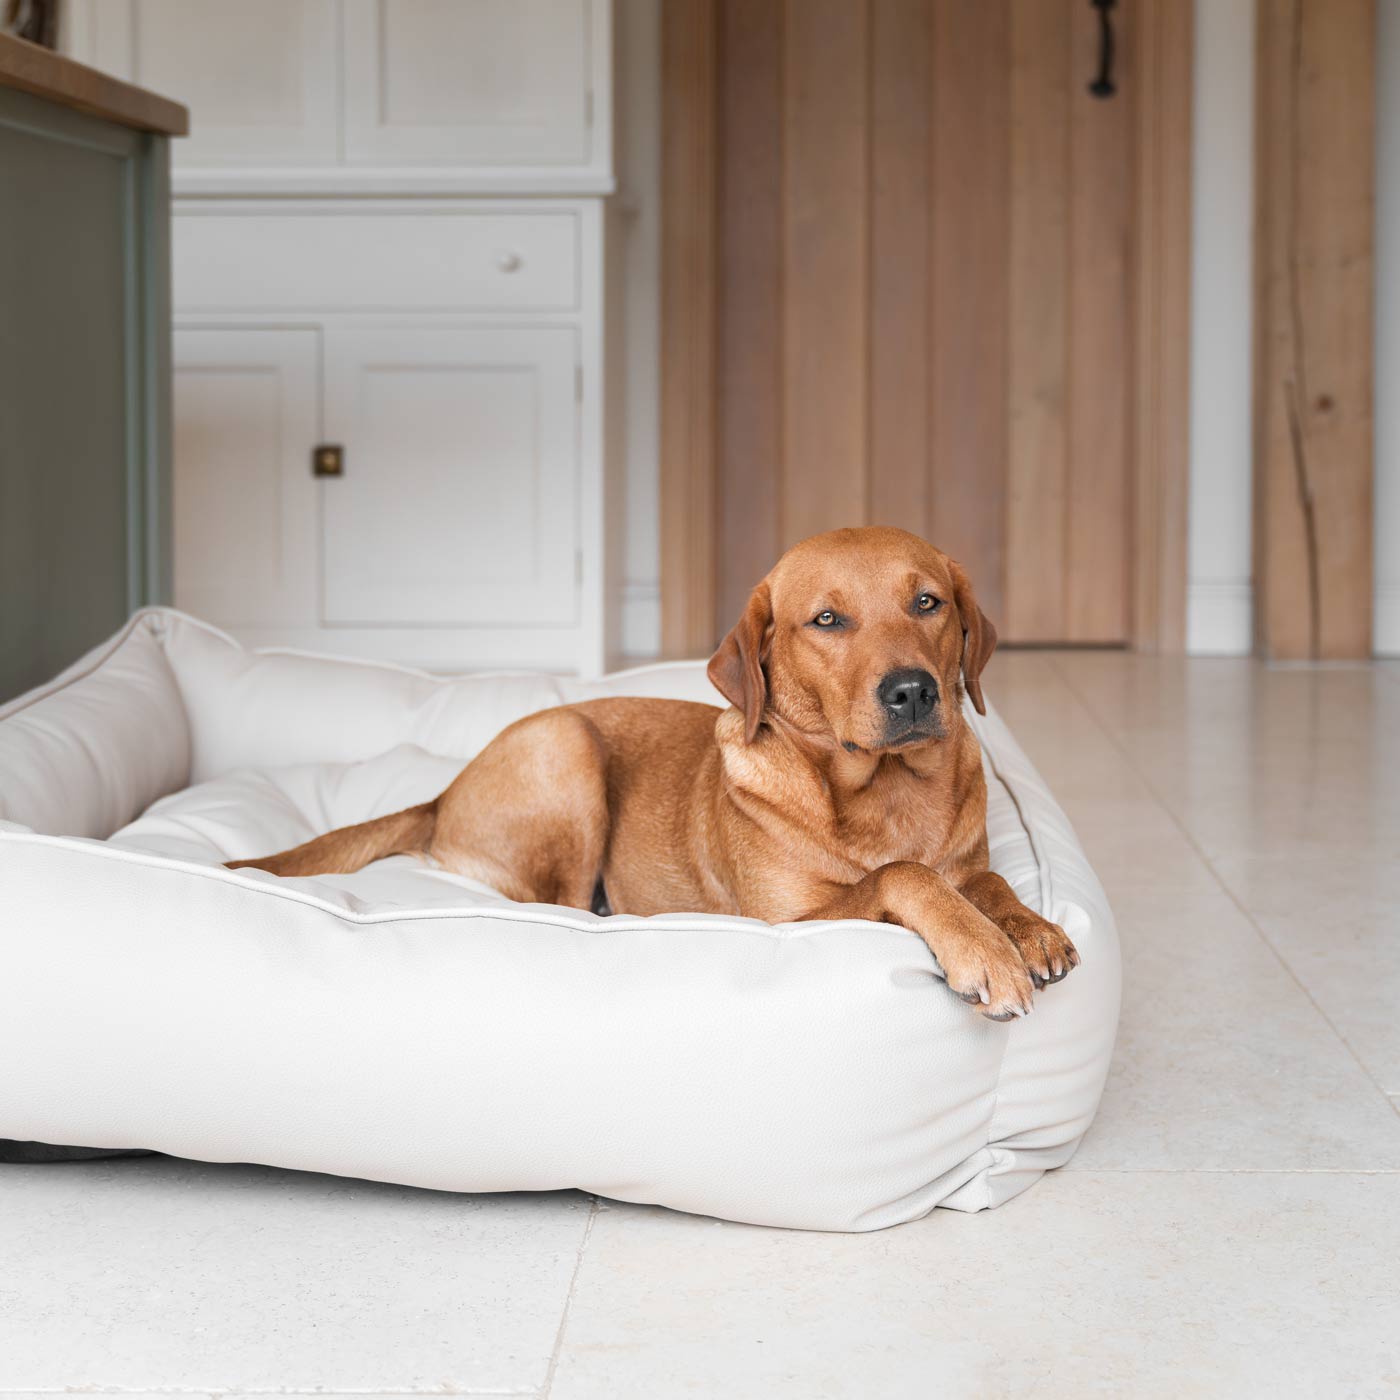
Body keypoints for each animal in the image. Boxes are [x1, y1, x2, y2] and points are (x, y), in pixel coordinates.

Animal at [232, 526, 1080, 1019]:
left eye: (928, 603)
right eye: (827, 620)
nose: (912, 691)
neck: (886, 790)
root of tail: (442, 795)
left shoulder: (966, 860)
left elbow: (983, 880)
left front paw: (1028, 926)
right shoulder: (791, 924)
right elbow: (908, 874)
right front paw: (983, 950)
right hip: (568, 747)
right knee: (562, 908)